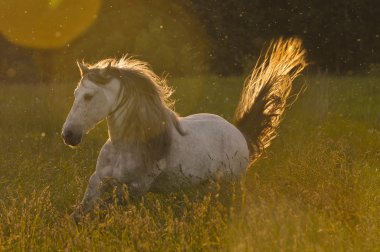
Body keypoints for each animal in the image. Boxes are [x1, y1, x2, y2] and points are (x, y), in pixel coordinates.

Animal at [61, 37, 306, 219]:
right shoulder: (99, 180)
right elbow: (80, 213)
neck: (125, 145)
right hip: (208, 185)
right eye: (75, 94)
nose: (69, 135)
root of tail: (240, 134)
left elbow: (103, 209)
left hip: (231, 184)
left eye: (89, 96)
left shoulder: (136, 188)